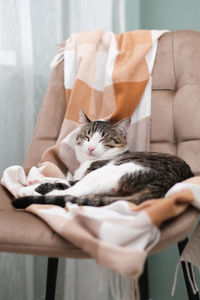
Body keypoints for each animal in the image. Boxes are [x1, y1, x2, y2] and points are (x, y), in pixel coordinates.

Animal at [12, 110, 194, 209]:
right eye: (87, 137)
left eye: (103, 140)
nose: (91, 148)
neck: (85, 163)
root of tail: (163, 187)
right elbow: (58, 178)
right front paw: (35, 180)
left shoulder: (87, 174)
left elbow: (61, 183)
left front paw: (31, 187)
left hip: (108, 172)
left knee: (69, 193)